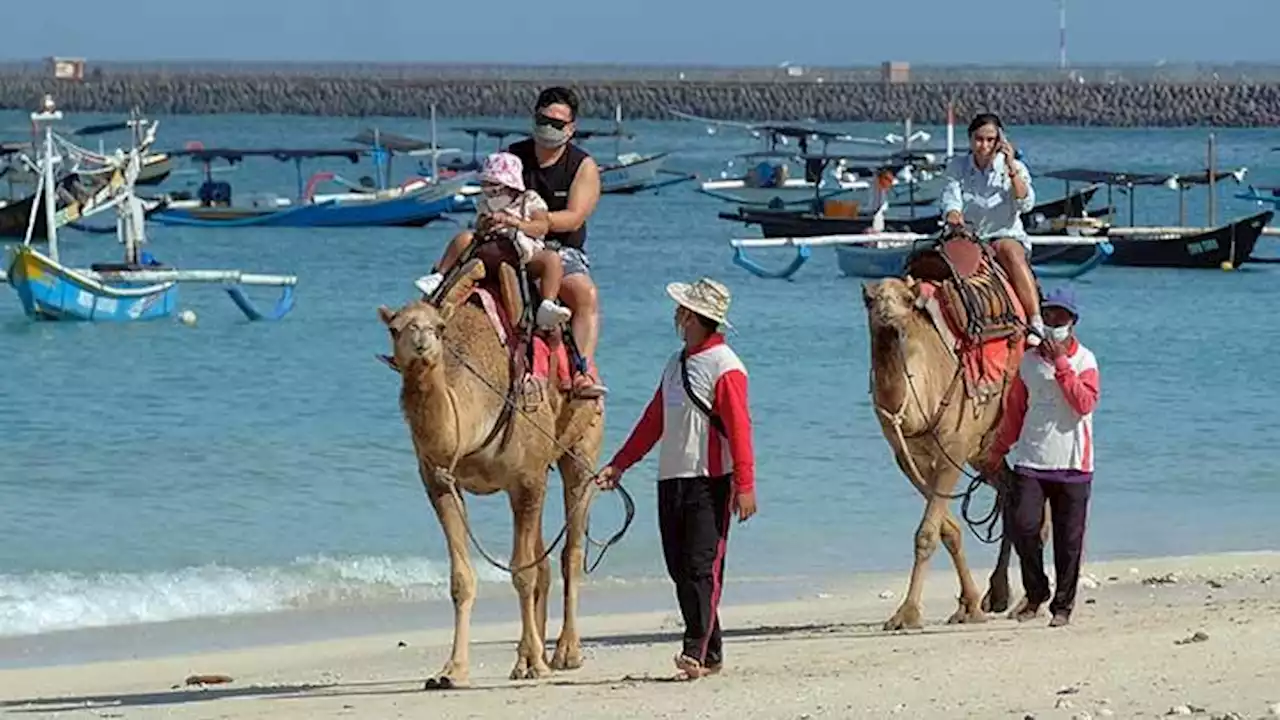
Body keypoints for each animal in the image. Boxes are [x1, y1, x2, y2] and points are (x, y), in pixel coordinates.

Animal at [373, 256, 604, 681]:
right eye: (395, 328)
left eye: (439, 327)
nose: (422, 343)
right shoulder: (439, 480)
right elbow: (463, 579)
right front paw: (453, 670)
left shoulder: (526, 479)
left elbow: (521, 572)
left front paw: (539, 663)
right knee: (544, 559)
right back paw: (527, 658)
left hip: (581, 450)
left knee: (571, 550)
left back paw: (565, 653)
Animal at [855, 235, 1034, 627]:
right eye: (871, 300)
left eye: (907, 301)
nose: (890, 321)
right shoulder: (909, 458)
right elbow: (948, 530)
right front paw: (968, 605)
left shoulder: (953, 447)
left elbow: (927, 533)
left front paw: (907, 613)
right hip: (985, 449)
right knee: (1011, 489)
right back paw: (999, 594)